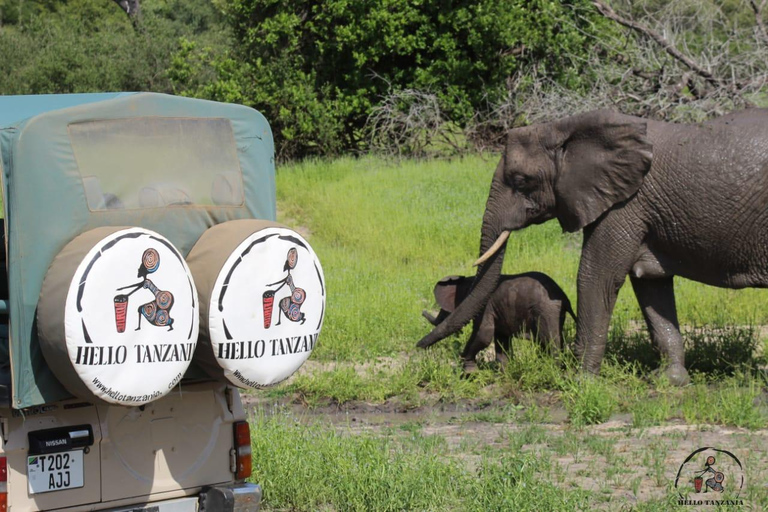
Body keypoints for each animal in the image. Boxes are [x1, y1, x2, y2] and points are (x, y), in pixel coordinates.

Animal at [420, 272, 576, 372]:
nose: (418, 347)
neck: (470, 281)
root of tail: (565, 298)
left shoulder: (485, 307)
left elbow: (484, 335)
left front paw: (469, 370)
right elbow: (501, 339)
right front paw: (504, 374)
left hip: (546, 311)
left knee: (550, 341)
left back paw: (552, 370)